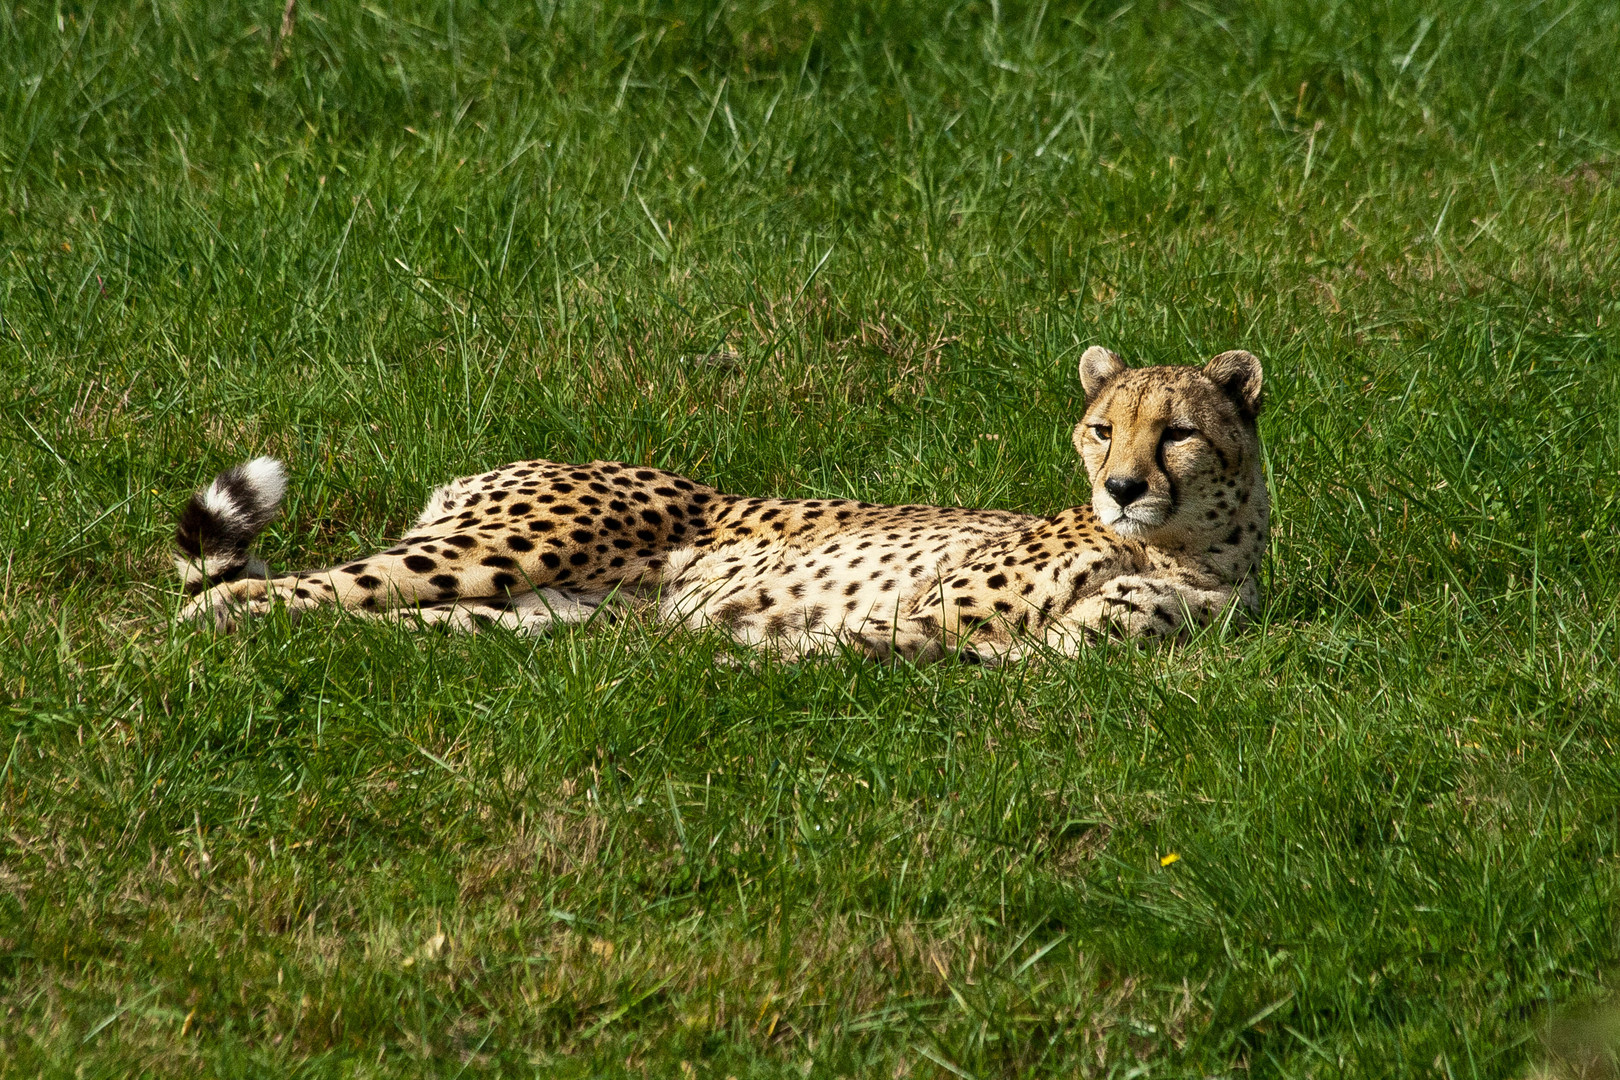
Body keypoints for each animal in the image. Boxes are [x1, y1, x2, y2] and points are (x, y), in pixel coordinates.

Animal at [174, 351, 1263, 663]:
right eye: (1101, 430)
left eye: (1175, 432)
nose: (1121, 488)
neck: (1186, 549)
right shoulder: (930, 610)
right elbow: (857, 641)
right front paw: (752, 661)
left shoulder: (1063, 650)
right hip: (501, 552)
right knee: (269, 590)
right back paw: (205, 626)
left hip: (529, 615)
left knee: (381, 619)